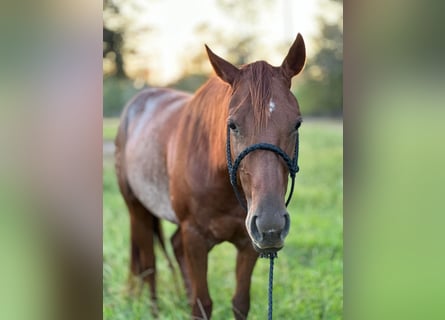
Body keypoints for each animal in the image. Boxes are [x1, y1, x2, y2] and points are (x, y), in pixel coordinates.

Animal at [113, 33, 306, 318]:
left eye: (296, 123)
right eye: (232, 125)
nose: (271, 225)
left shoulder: (248, 242)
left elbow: (240, 303)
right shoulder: (194, 237)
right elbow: (202, 303)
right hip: (137, 210)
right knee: (149, 266)